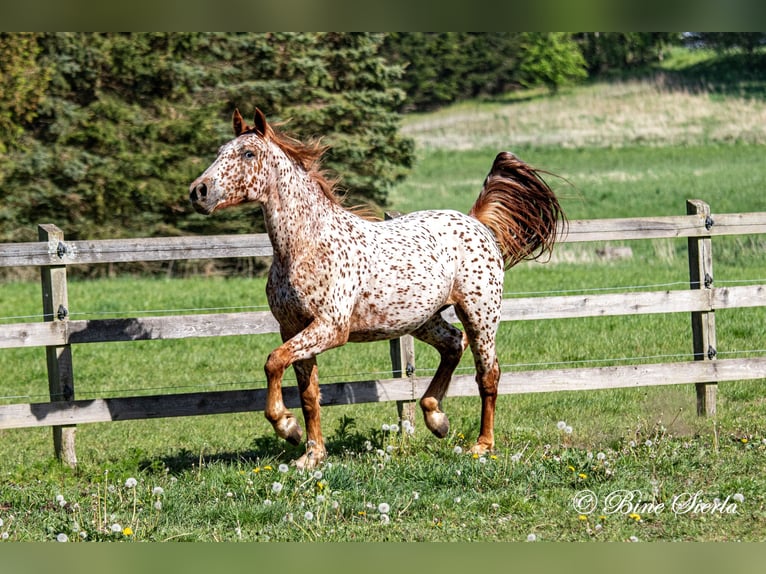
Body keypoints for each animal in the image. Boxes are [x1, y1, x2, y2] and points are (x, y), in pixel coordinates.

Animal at [189, 109, 568, 472]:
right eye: (220, 151)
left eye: (248, 153)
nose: (198, 191)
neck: (304, 247)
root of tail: (476, 222)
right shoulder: (293, 327)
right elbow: (308, 393)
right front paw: (310, 455)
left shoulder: (330, 328)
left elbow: (272, 362)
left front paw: (287, 427)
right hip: (421, 318)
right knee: (452, 344)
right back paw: (436, 418)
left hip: (480, 314)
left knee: (487, 374)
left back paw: (482, 445)